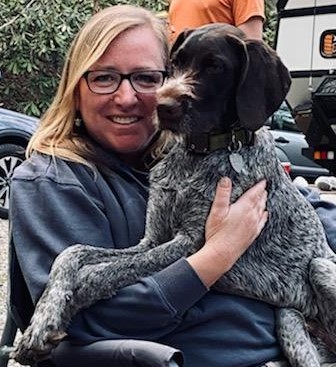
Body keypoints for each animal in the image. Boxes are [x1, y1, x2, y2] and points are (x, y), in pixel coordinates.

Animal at [13, 24, 336, 366]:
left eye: (215, 67)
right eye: (176, 63)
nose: (162, 107)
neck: (201, 154)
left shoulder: (191, 243)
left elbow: (108, 272)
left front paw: (79, 290)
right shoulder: (151, 239)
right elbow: (71, 252)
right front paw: (42, 321)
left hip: (320, 266)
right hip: (289, 323)